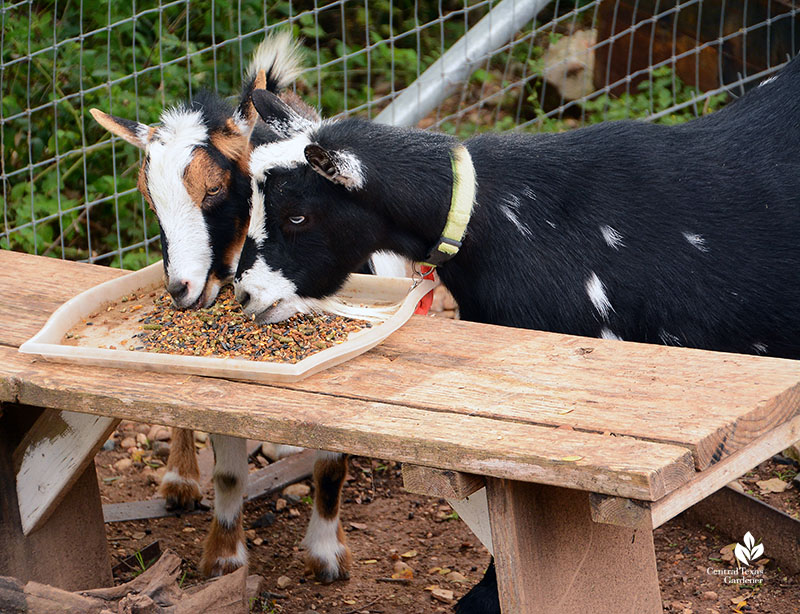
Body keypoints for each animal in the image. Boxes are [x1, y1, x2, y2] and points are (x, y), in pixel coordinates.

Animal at [89, 33, 354, 584]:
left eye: (213, 188)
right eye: (149, 199)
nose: (180, 289)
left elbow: (330, 466)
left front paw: (327, 555)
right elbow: (229, 472)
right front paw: (225, 558)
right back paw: (180, 480)